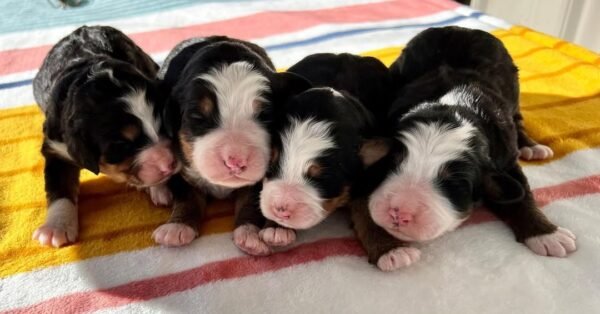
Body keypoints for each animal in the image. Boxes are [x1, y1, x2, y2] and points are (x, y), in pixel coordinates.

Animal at [32, 25, 178, 248]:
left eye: (164, 125)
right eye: (121, 145)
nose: (169, 164)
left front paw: (159, 188)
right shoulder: (56, 148)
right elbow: (60, 187)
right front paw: (56, 229)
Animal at [155, 35, 310, 247]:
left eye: (265, 115)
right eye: (197, 117)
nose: (235, 161)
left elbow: (249, 201)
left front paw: (250, 234)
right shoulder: (180, 164)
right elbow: (187, 195)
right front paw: (177, 228)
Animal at [232, 53, 392, 255]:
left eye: (322, 178)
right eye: (271, 164)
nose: (280, 209)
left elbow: (368, 209)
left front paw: (392, 252)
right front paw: (276, 229)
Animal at [354, 26, 576, 272]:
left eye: (454, 183)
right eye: (389, 164)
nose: (400, 213)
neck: (453, 106)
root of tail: (460, 28)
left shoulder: (506, 158)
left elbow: (521, 194)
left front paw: (546, 234)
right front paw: (389, 247)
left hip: (514, 93)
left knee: (519, 120)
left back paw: (532, 146)